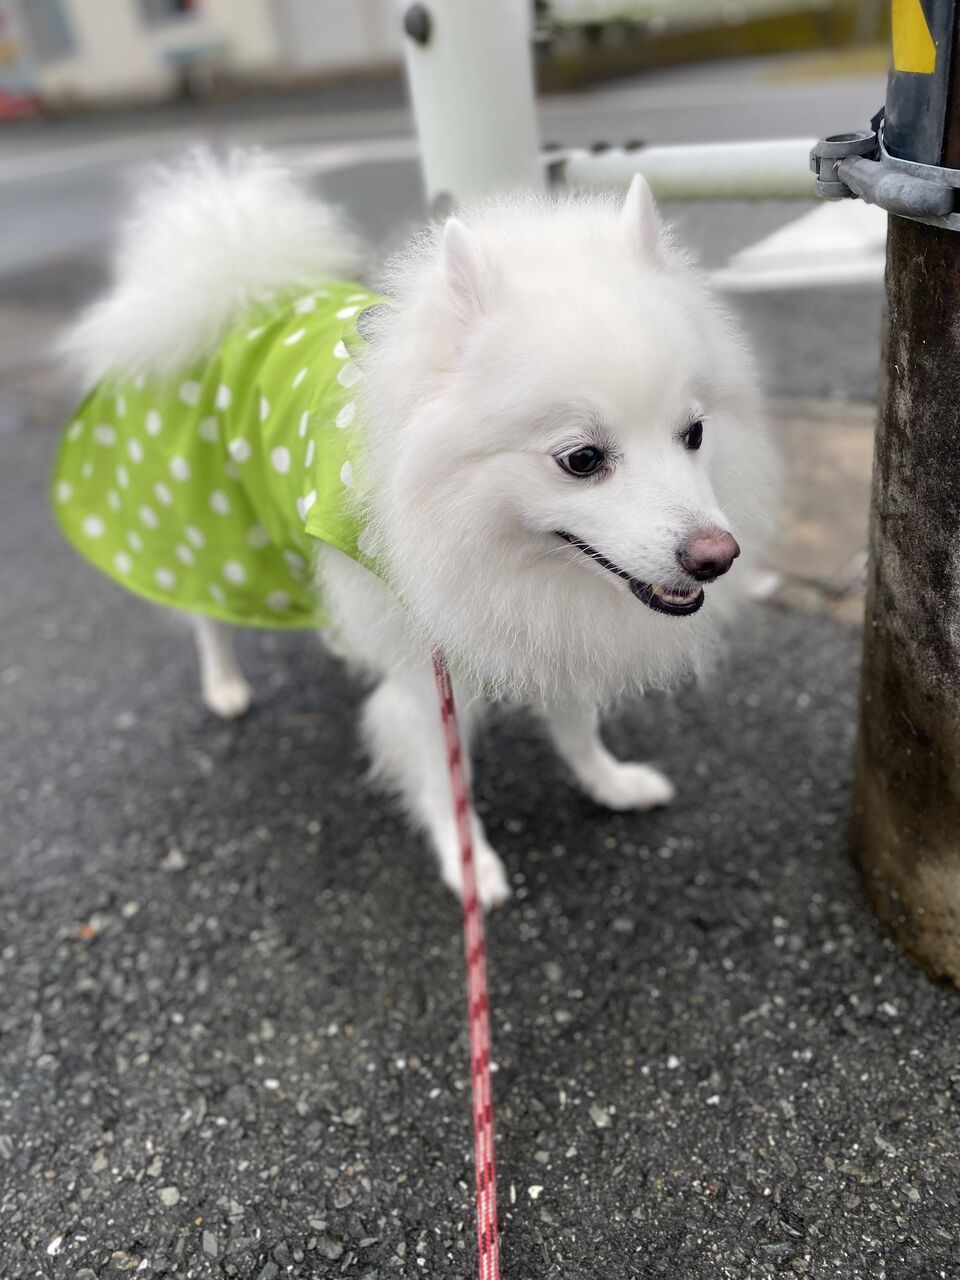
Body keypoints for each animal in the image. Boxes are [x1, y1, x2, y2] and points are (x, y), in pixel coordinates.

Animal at [55, 150, 777, 908]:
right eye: (581, 459)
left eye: (694, 434)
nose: (716, 557)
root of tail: (234, 286)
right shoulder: (428, 671)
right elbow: (444, 776)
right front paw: (470, 864)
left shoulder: (551, 629)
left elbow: (577, 726)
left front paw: (609, 782)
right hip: (205, 528)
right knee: (207, 616)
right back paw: (224, 685)